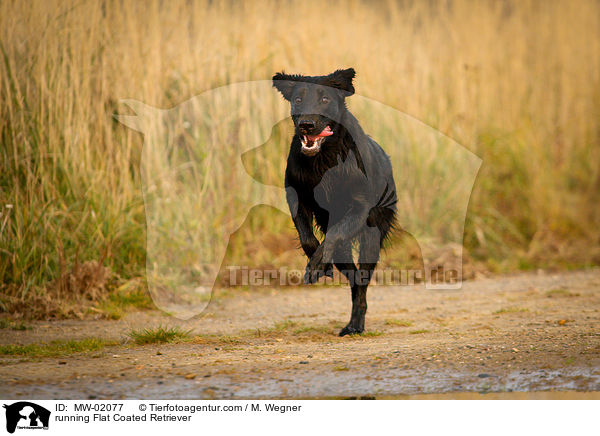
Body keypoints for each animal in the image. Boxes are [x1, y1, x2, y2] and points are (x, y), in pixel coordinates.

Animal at [274, 68, 396, 336]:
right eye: (298, 99)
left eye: (325, 99)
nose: (307, 124)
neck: (324, 160)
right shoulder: (296, 196)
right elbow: (308, 238)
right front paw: (318, 265)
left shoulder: (359, 208)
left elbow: (334, 235)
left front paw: (318, 264)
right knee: (353, 277)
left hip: (371, 238)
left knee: (361, 281)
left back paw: (355, 325)